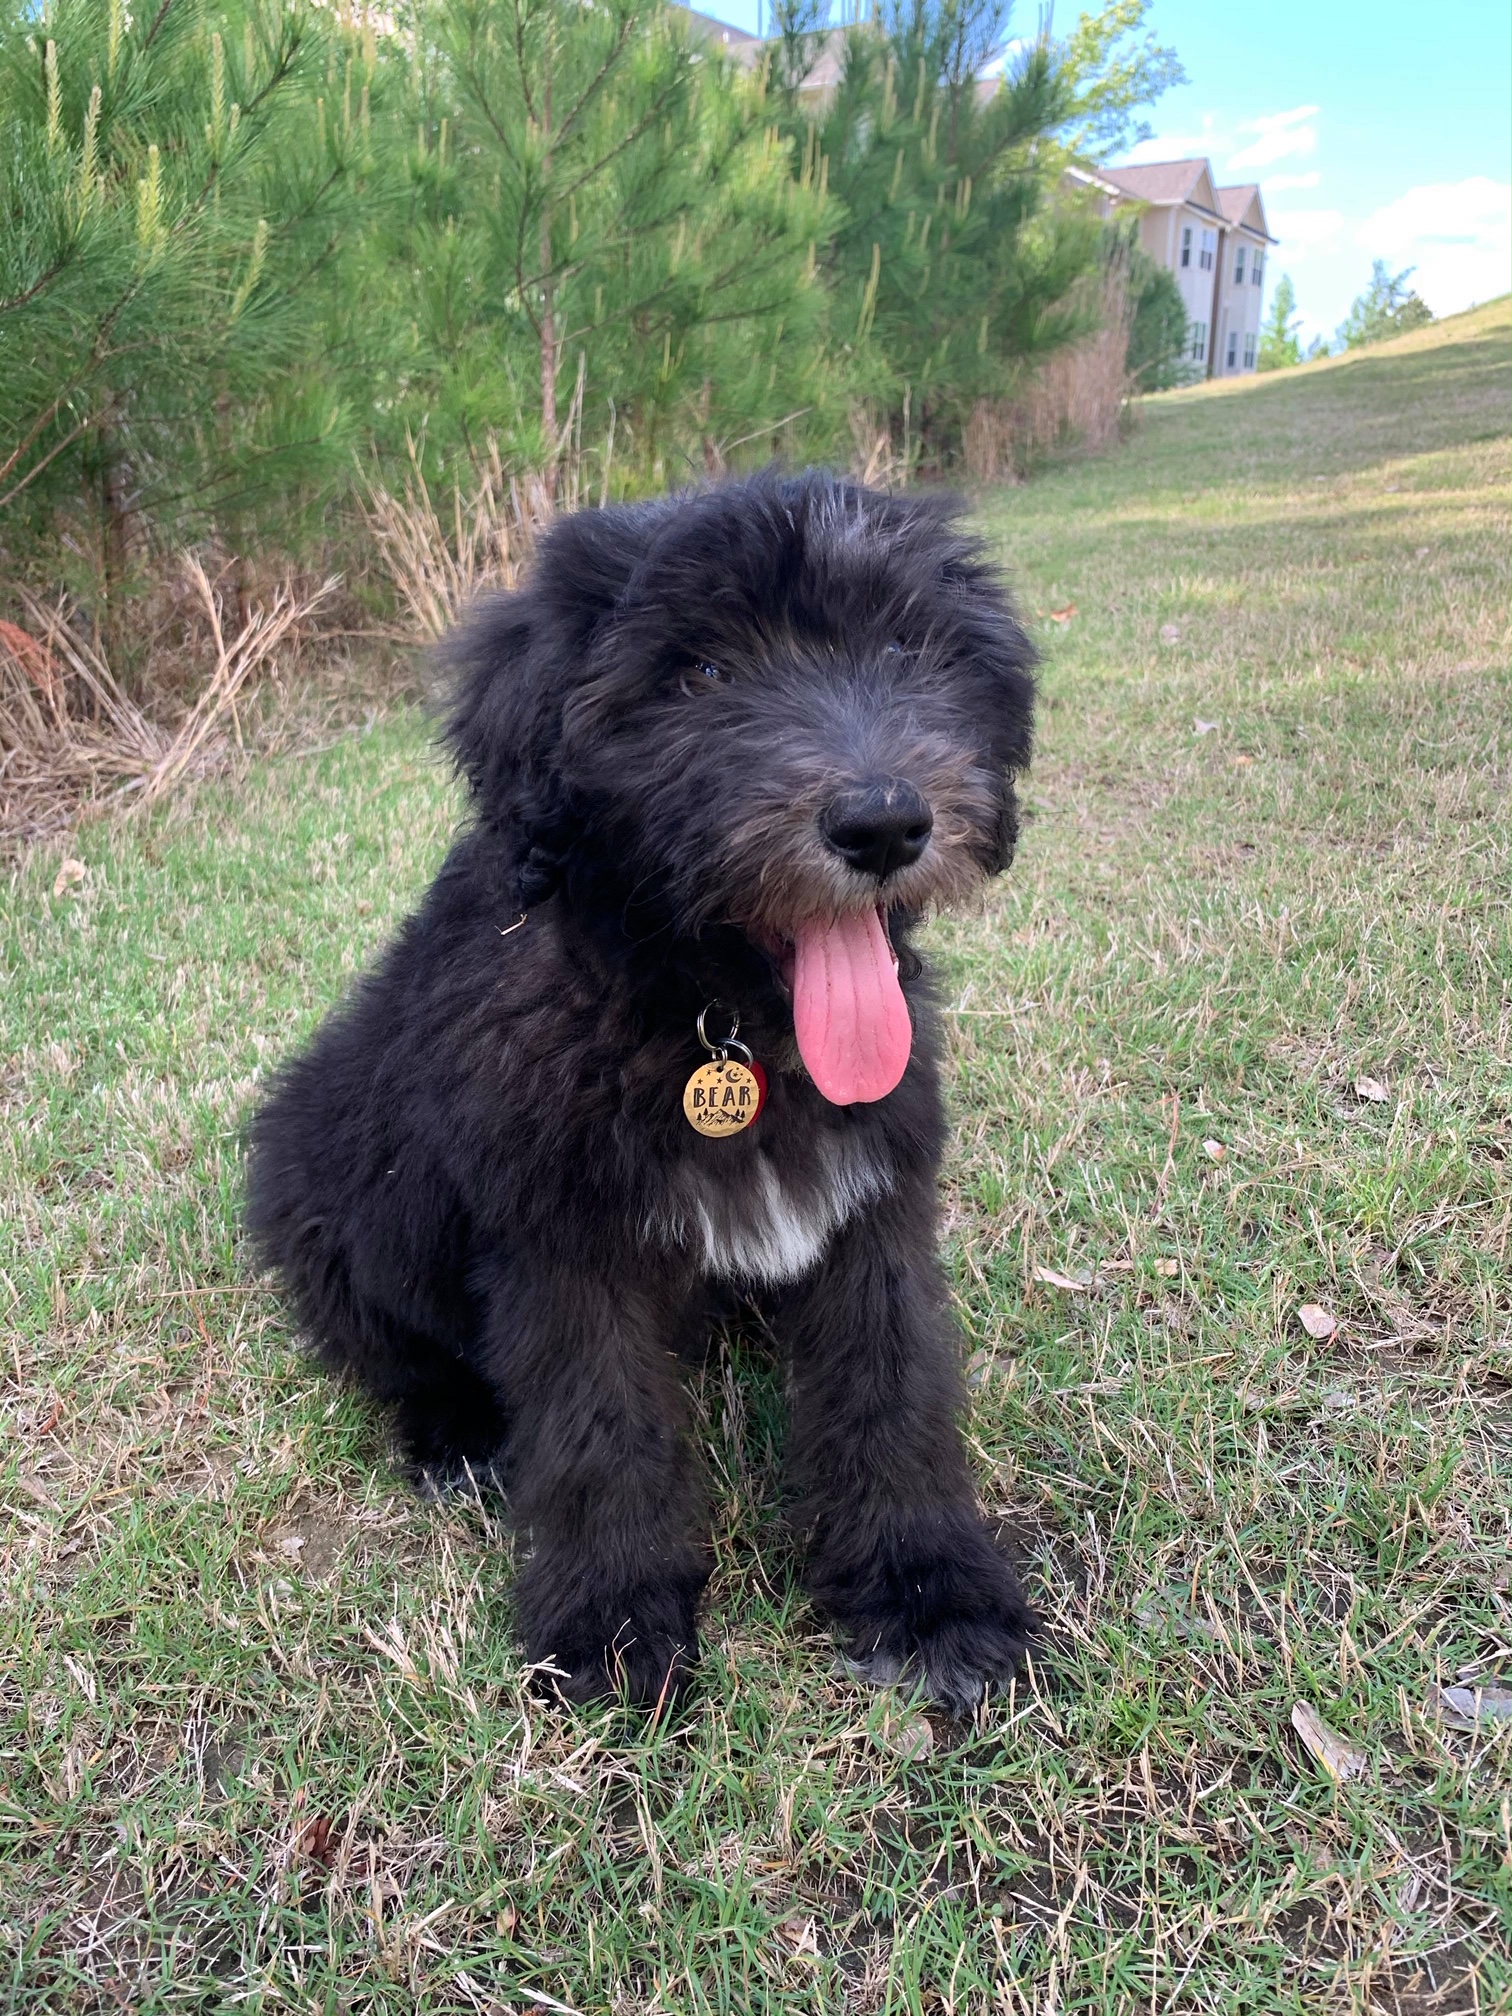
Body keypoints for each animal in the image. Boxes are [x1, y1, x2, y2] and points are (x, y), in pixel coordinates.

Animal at [255, 471, 1048, 1717]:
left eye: (900, 642)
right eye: (701, 672)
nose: (883, 823)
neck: (713, 1019)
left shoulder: (873, 1200)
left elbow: (893, 1386)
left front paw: (930, 1595)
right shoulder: (560, 1243)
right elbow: (598, 1427)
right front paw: (613, 1622)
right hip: (331, 1200)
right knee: (386, 1343)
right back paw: (454, 1434)